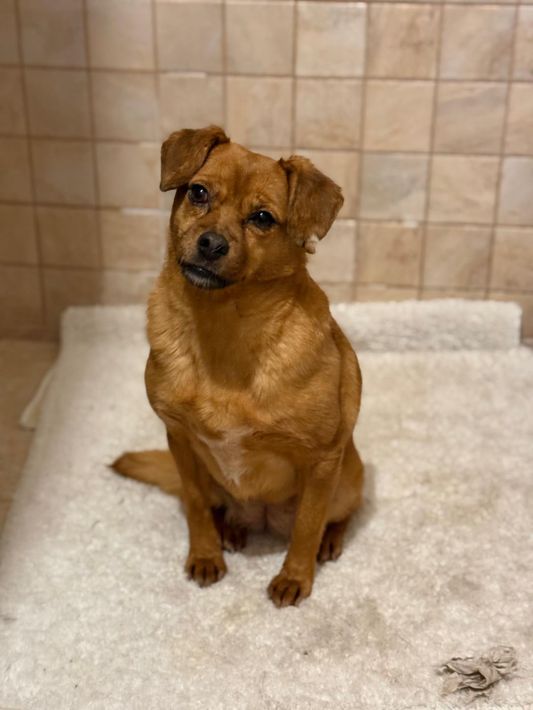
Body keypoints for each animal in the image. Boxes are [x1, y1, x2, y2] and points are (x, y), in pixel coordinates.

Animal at [112, 126, 364, 607]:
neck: (224, 325)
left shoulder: (323, 459)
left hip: (348, 479)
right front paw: (205, 554)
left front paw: (295, 576)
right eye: (198, 192)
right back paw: (227, 530)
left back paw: (329, 541)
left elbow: (307, 525)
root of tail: (260, 516)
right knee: (216, 506)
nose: (211, 243)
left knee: (332, 516)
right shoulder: (180, 441)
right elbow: (194, 506)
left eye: (262, 218)